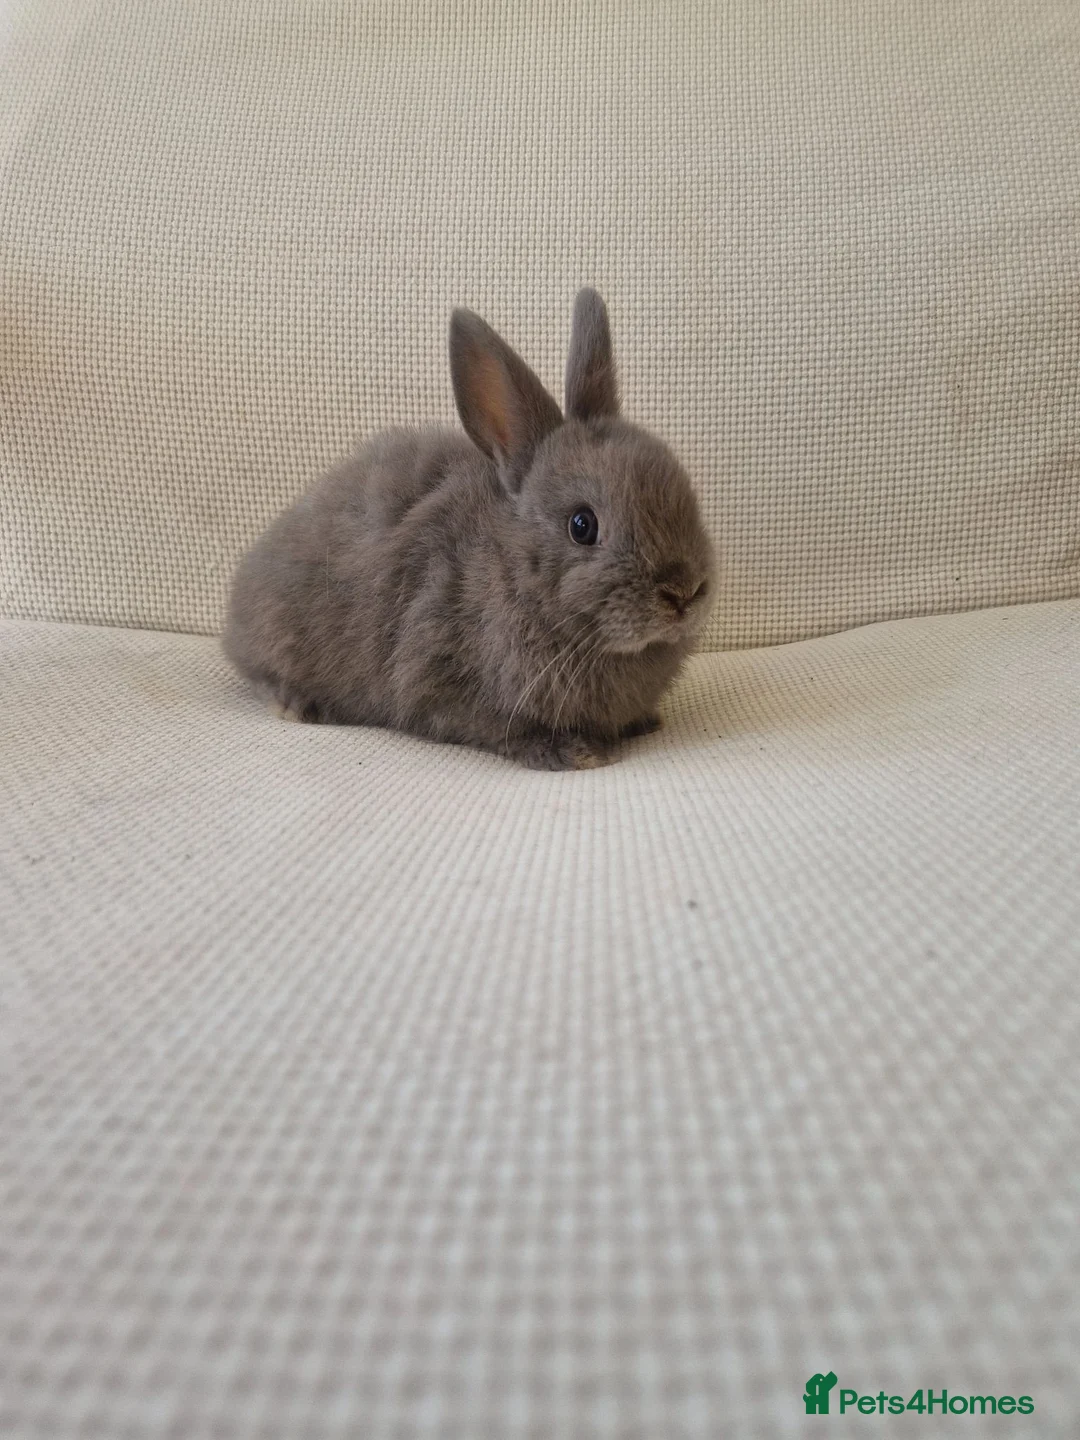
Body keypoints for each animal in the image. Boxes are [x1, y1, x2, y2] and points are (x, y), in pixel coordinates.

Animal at [223, 288, 715, 770]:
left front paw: (642, 722)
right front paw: (572, 752)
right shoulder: (440, 676)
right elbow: (497, 727)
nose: (684, 592)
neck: (512, 570)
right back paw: (296, 704)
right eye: (582, 525)